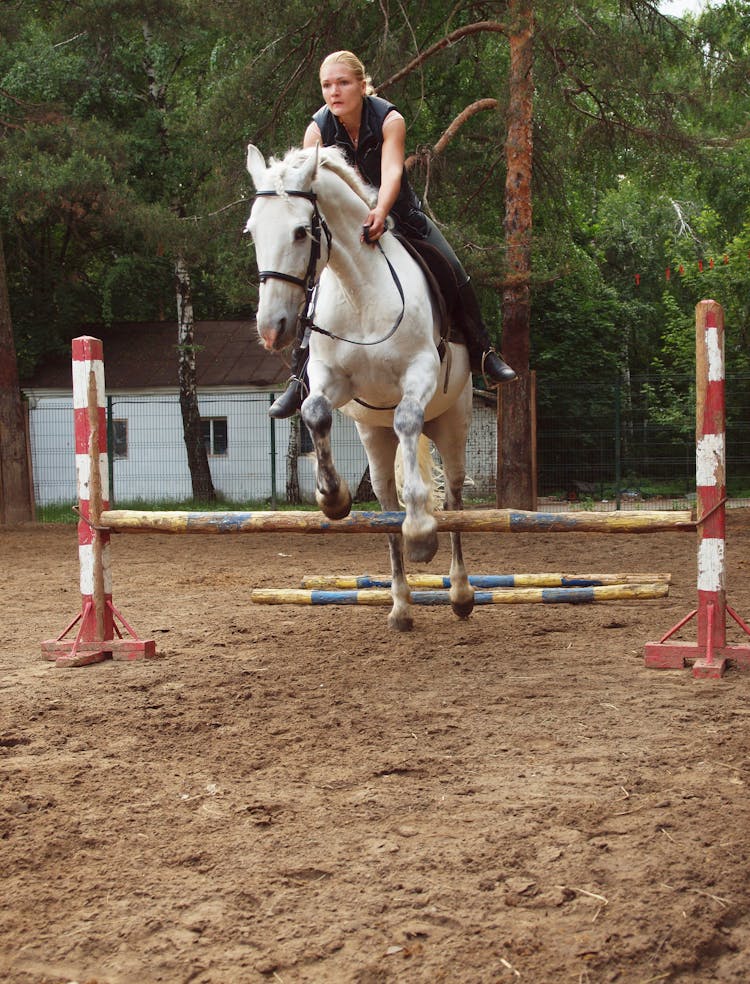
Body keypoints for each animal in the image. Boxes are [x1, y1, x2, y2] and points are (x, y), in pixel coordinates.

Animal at [250, 144, 478, 632]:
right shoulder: (331, 380)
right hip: (373, 434)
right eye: (252, 231)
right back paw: (401, 606)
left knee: (452, 496)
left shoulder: (419, 374)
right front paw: (332, 499)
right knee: (386, 500)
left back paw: (461, 592)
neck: (360, 292)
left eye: (301, 231)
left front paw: (421, 533)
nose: (272, 329)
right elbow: (313, 413)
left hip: (453, 420)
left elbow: (408, 420)